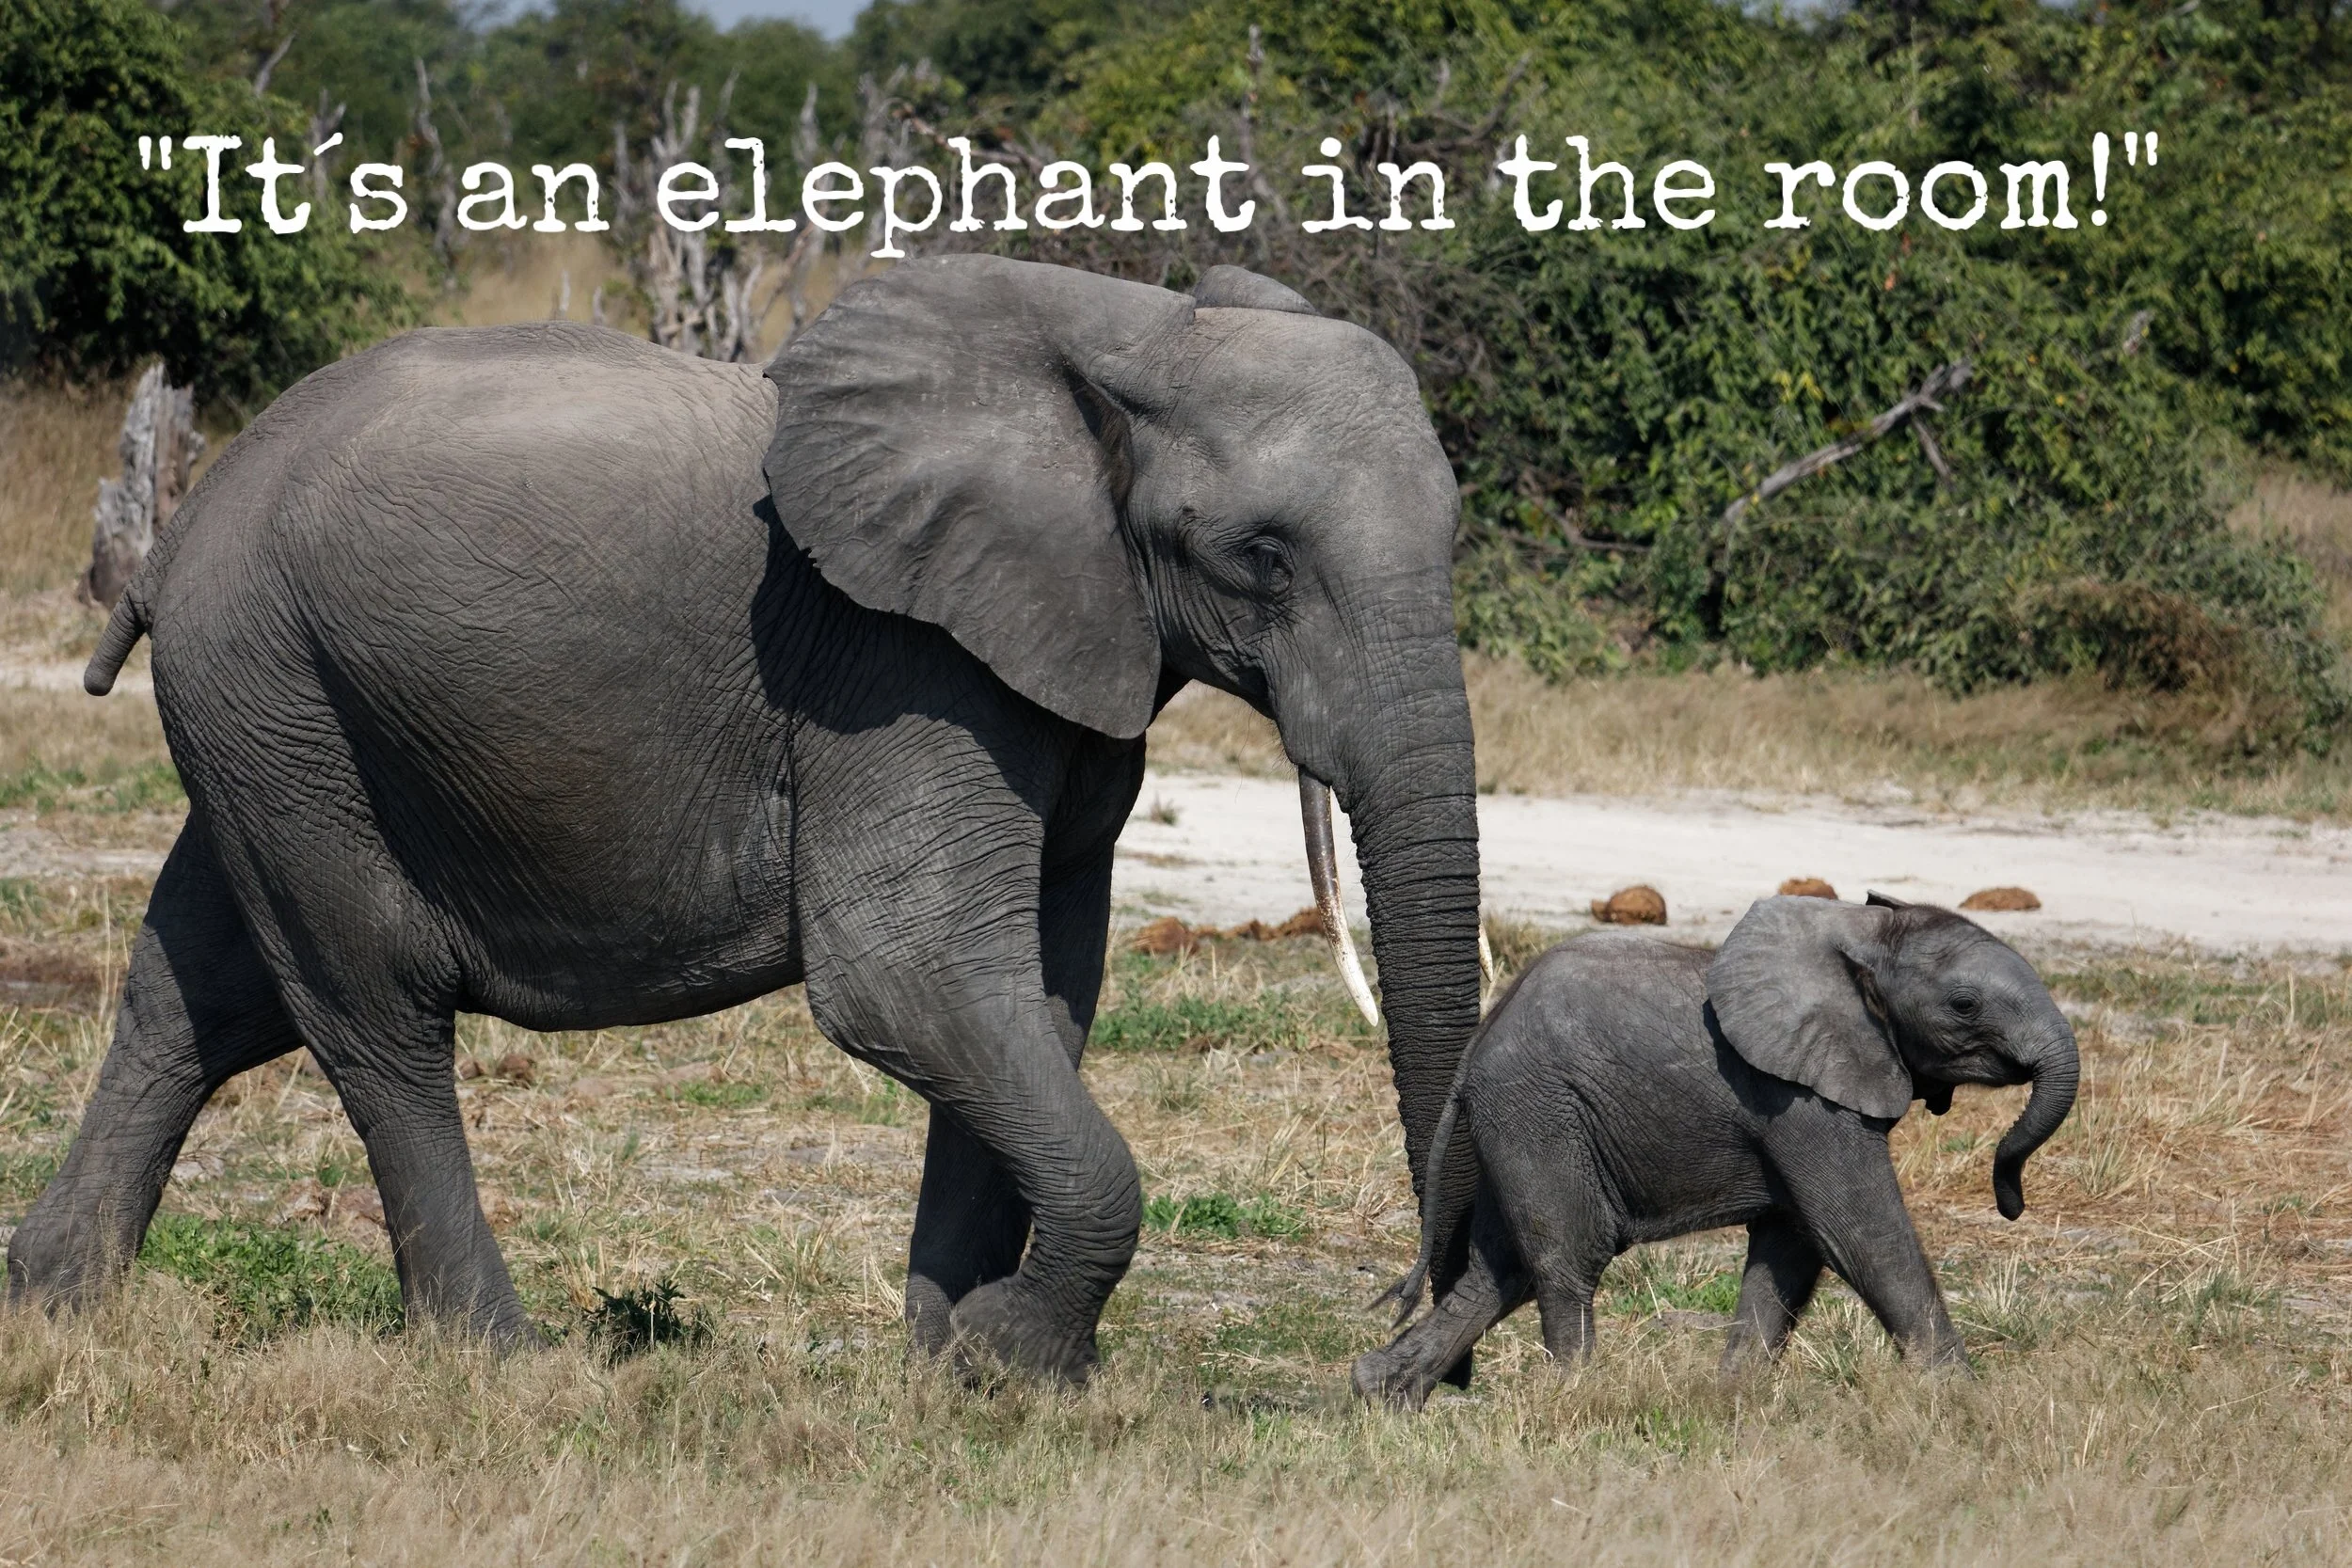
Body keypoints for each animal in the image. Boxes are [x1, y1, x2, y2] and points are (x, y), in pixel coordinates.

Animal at [5, 257, 1486, 1383]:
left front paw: (952, 1365)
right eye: (1260, 556)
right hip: (279, 687)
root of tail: (179, 529)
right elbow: (908, 981)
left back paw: (53, 1303)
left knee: (196, 993)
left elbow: (1038, 994)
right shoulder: (899, 667)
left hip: (271, 712)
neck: (1129, 327)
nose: (1416, 1355)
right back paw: (499, 1355)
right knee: (373, 1010)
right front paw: (1008, 1354)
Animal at [1352, 893, 2079, 1409]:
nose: (2011, 1201)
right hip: (1541, 1110)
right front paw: (1966, 1403)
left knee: (1499, 1270)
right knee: (1568, 1257)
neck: (1864, 931)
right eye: (1964, 1005)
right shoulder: (1801, 1099)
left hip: (1522, 1122)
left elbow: (1792, 1245)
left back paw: (1381, 1396)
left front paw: (1731, 1402)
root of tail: (1478, 1044)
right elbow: (1860, 1235)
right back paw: (1579, 1398)